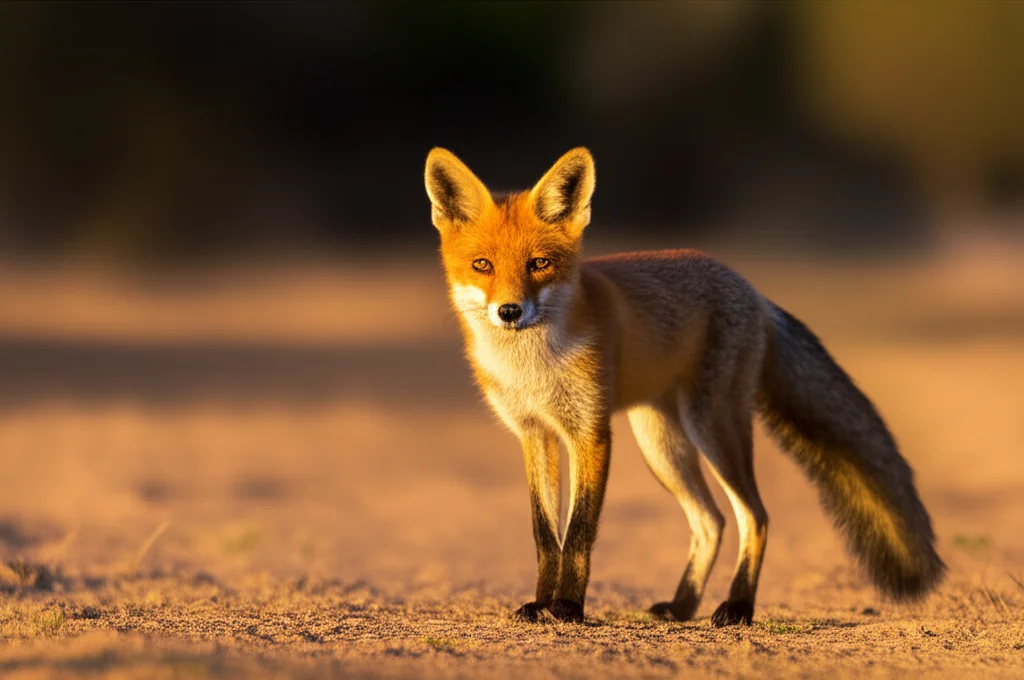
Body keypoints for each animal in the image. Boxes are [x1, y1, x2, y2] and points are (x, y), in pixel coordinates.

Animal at [423, 147, 945, 626]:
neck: (532, 368)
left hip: (711, 426)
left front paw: (568, 606)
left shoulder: (591, 432)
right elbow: (545, 534)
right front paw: (540, 603)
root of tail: (750, 289)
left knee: (754, 515)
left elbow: (580, 532)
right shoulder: (535, 435)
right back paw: (682, 605)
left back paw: (737, 606)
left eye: (539, 264)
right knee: (711, 520)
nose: (509, 311)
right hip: (661, 444)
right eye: (482, 265)